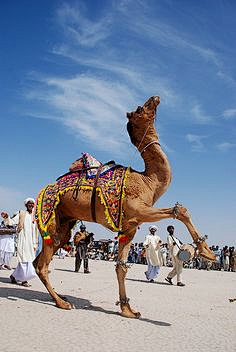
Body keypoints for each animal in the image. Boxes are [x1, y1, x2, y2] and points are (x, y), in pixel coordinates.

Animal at [33, 95, 216, 318]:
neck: (149, 180)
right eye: (140, 108)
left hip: (65, 222)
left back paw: (61, 297)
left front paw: (127, 309)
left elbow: (122, 266)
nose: (155, 97)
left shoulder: (129, 227)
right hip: (49, 217)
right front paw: (207, 252)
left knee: (43, 257)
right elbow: (180, 210)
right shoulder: (138, 210)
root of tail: (42, 191)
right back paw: (62, 303)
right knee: (43, 265)